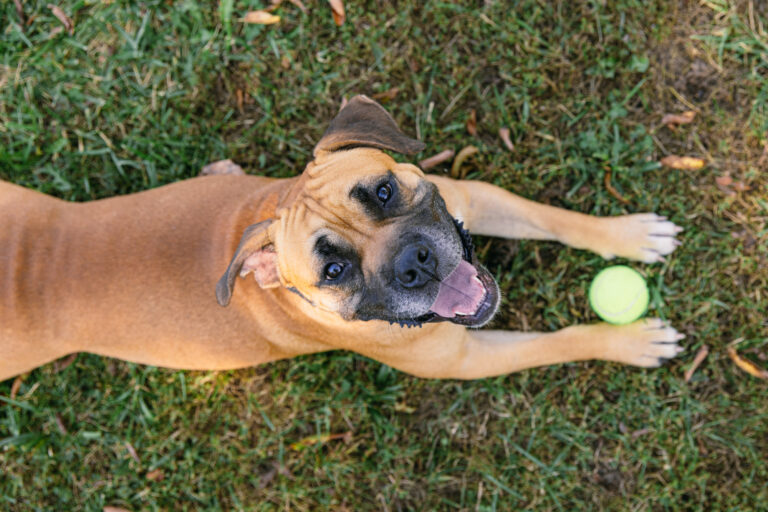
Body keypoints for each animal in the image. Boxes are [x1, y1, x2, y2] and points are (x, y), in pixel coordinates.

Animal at [0, 96, 684, 382]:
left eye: (381, 192)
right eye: (333, 271)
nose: (417, 263)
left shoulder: (469, 197)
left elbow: (549, 216)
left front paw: (628, 233)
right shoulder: (465, 358)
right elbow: (558, 342)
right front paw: (630, 341)